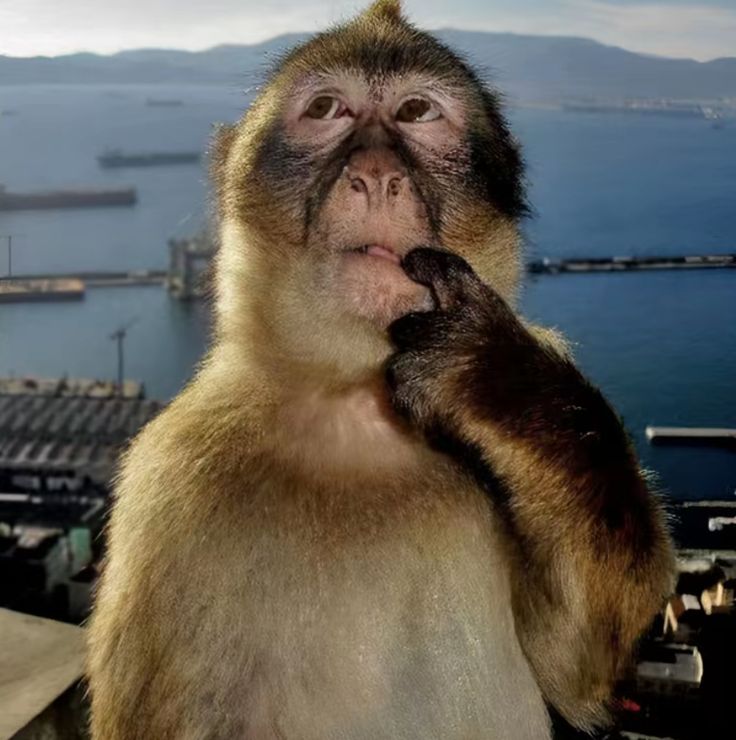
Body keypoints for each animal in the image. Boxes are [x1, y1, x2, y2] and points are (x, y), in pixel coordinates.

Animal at [87, 1, 674, 738]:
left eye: (417, 111)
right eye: (327, 109)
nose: (373, 175)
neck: (355, 405)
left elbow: (575, 661)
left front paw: (495, 378)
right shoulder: (168, 486)